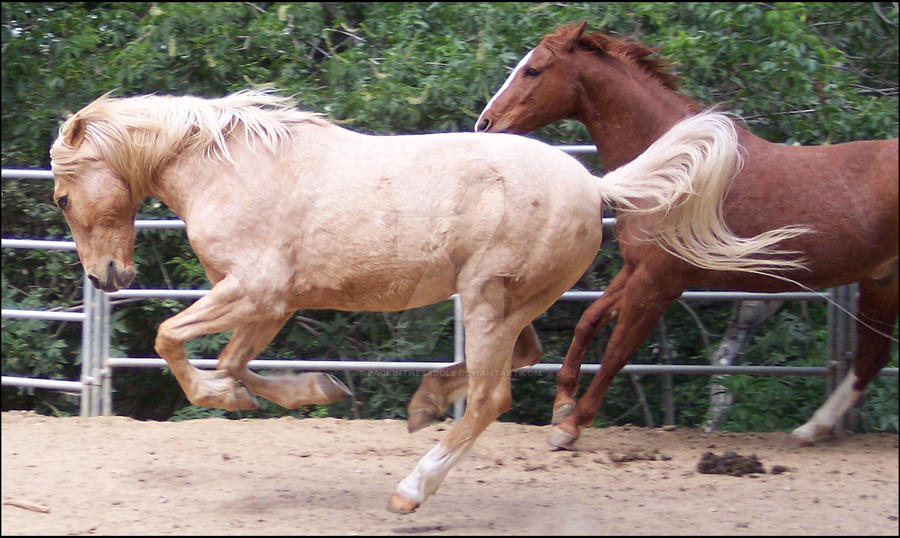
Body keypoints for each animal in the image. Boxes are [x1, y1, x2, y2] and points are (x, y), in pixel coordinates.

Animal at [52, 89, 804, 510]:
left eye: (61, 197)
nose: (107, 279)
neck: (234, 168)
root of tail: (594, 184)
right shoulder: (272, 303)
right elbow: (236, 367)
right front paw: (313, 391)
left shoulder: (255, 291)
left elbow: (173, 343)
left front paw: (230, 398)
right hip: (508, 303)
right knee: (522, 357)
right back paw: (424, 401)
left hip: (487, 298)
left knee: (495, 396)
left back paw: (411, 490)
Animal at [414, 22, 892, 444]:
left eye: (533, 70)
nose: (485, 123)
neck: (679, 167)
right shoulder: (636, 267)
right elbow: (589, 320)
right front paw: (563, 403)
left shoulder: (660, 282)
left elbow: (618, 350)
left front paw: (572, 426)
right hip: (883, 283)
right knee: (872, 357)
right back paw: (813, 429)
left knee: (872, 357)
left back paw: (813, 427)